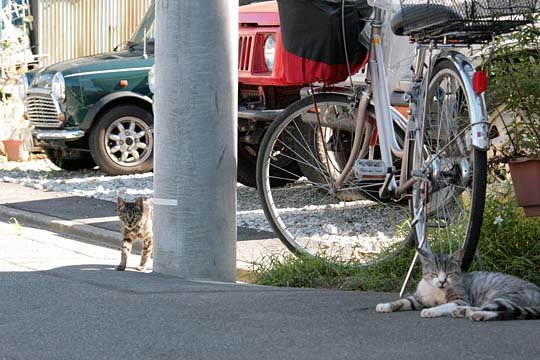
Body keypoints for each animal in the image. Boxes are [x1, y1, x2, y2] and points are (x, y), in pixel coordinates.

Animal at [376, 249, 540, 322]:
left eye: (449, 273)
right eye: (434, 273)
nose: (442, 281)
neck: (436, 291)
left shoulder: (461, 299)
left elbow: (444, 305)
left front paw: (431, 310)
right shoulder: (418, 298)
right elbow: (402, 301)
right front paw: (385, 306)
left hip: (505, 295)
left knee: (504, 310)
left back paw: (473, 313)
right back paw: (465, 312)